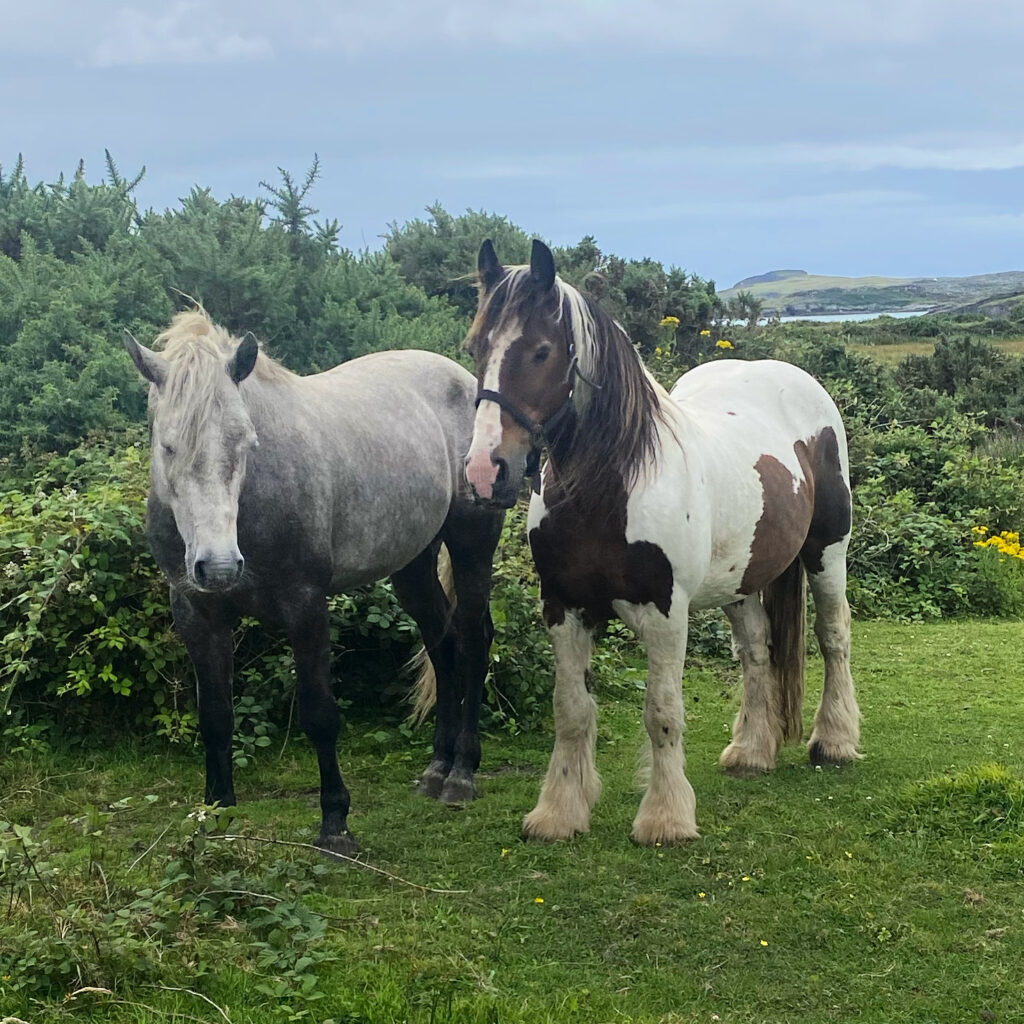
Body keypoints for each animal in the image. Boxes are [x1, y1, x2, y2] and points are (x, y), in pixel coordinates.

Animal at [125, 311, 505, 856]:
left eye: (246, 440)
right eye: (168, 445)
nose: (218, 567)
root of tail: (462, 379)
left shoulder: (306, 606)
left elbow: (320, 715)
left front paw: (335, 822)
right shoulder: (197, 613)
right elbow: (215, 717)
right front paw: (216, 817)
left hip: (473, 544)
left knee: (474, 641)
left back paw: (462, 775)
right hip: (413, 565)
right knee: (443, 644)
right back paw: (437, 768)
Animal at [464, 241, 856, 847]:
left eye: (541, 351)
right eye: (475, 346)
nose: (487, 471)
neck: (611, 489)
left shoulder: (667, 613)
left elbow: (662, 712)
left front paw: (666, 817)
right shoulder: (564, 608)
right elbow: (571, 709)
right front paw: (558, 812)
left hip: (827, 550)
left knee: (833, 635)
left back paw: (834, 740)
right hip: (741, 578)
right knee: (756, 650)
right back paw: (752, 750)